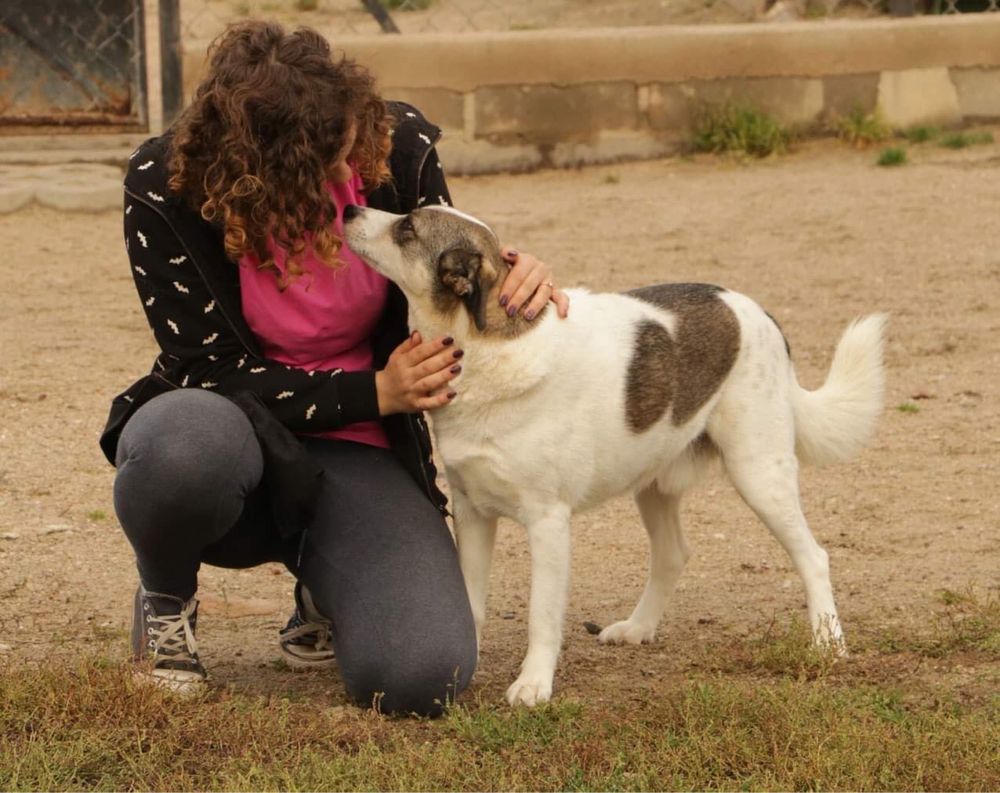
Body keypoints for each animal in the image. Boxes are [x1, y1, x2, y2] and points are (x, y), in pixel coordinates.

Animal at [342, 203, 884, 704]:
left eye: (407, 227)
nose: (348, 209)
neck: (484, 346)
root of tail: (754, 309)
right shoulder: (473, 513)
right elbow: (471, 604)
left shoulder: (548, 522)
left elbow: (542, 616)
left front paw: (534, 685)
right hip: (655, 480)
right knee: (673, 554)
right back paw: (639, 627)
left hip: (759, 473)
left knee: (814, 556)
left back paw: (829, 643)